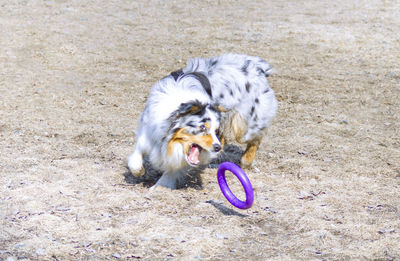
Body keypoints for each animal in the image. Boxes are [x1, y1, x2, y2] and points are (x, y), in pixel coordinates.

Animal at [128, 52, 278, 188]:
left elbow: (173, 170)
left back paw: (245, 160)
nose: (216, 147)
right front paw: (140, 172)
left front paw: (160, 186)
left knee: (254, 139)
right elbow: (136, 160)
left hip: (245, 125)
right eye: (202, 128)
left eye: (213, 130)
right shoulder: (148, 130)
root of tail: (258, 66)